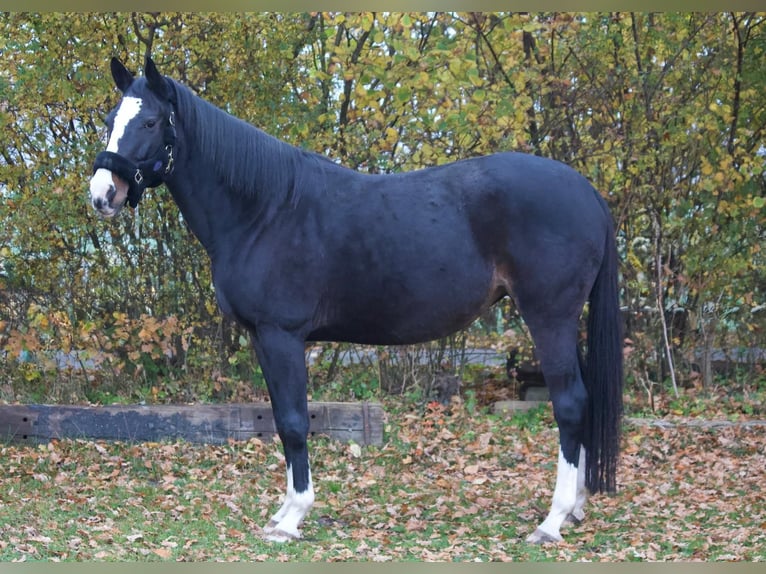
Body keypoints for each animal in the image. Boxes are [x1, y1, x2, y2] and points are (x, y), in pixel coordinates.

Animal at [89, 56, 623, 544]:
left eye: (150, 122)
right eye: (111, 119)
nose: (102, 194)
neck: (265, 208)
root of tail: (588, 193)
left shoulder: (283, 336)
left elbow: (294, 422)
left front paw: (293, 519)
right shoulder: (263, 338)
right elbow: (281, 420)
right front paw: (282, 513)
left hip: (548, 317)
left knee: (569, 403)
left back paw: (552, 521)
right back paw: (576, 508)